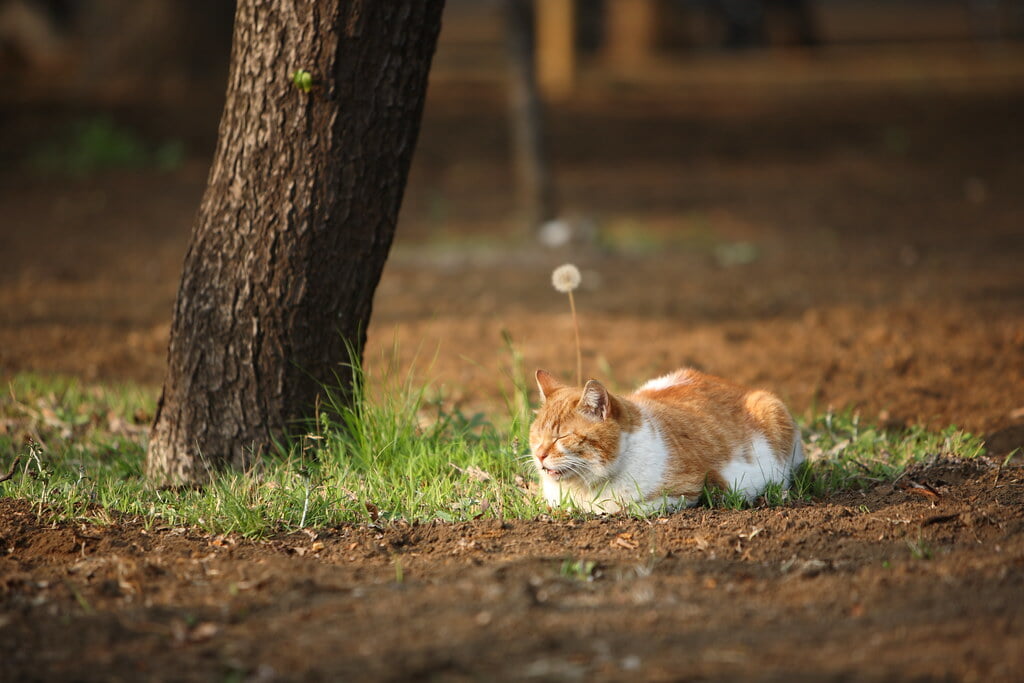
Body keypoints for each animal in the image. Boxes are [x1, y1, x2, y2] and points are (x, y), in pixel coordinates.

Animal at [532, 368, 802, 511]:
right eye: (537, 436)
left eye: (562, 436)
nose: (539, 455)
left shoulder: (685, 493)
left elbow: (624, 507)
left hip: (770, 409)